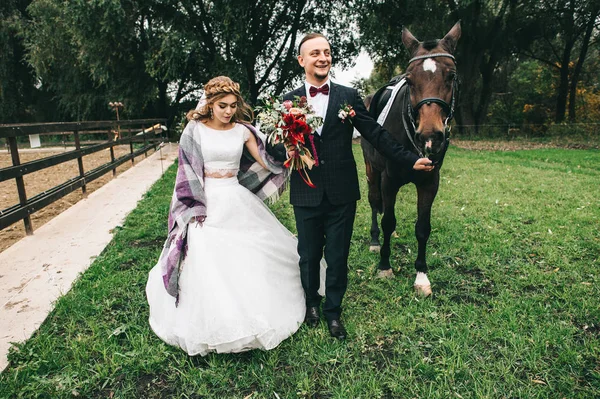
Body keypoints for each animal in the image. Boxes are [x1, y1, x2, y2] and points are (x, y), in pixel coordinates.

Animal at [360, 21, 460, 296]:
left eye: (451, 76)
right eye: (410, 79)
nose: (430, 136)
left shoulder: (430, 182)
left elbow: (423, 228)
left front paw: (421, 275)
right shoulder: (389, 180)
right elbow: (387, 220)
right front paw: (384, 265)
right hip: (372, 170)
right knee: (375, 203)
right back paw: (375, 240)